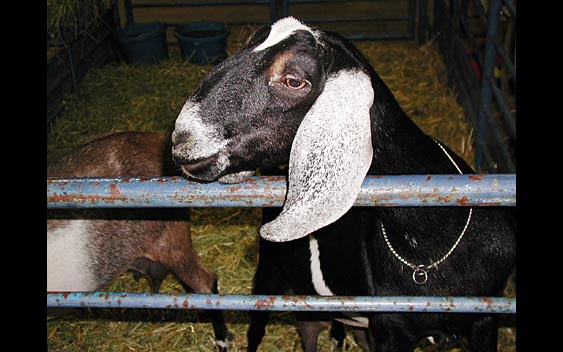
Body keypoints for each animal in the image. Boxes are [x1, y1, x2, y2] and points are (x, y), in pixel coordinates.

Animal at [171, 17, 516, 352]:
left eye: (294, 80)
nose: (181, 138)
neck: (433, 242)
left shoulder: (485, 318)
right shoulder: (392, 329)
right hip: (267, 274)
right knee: (256, 331)